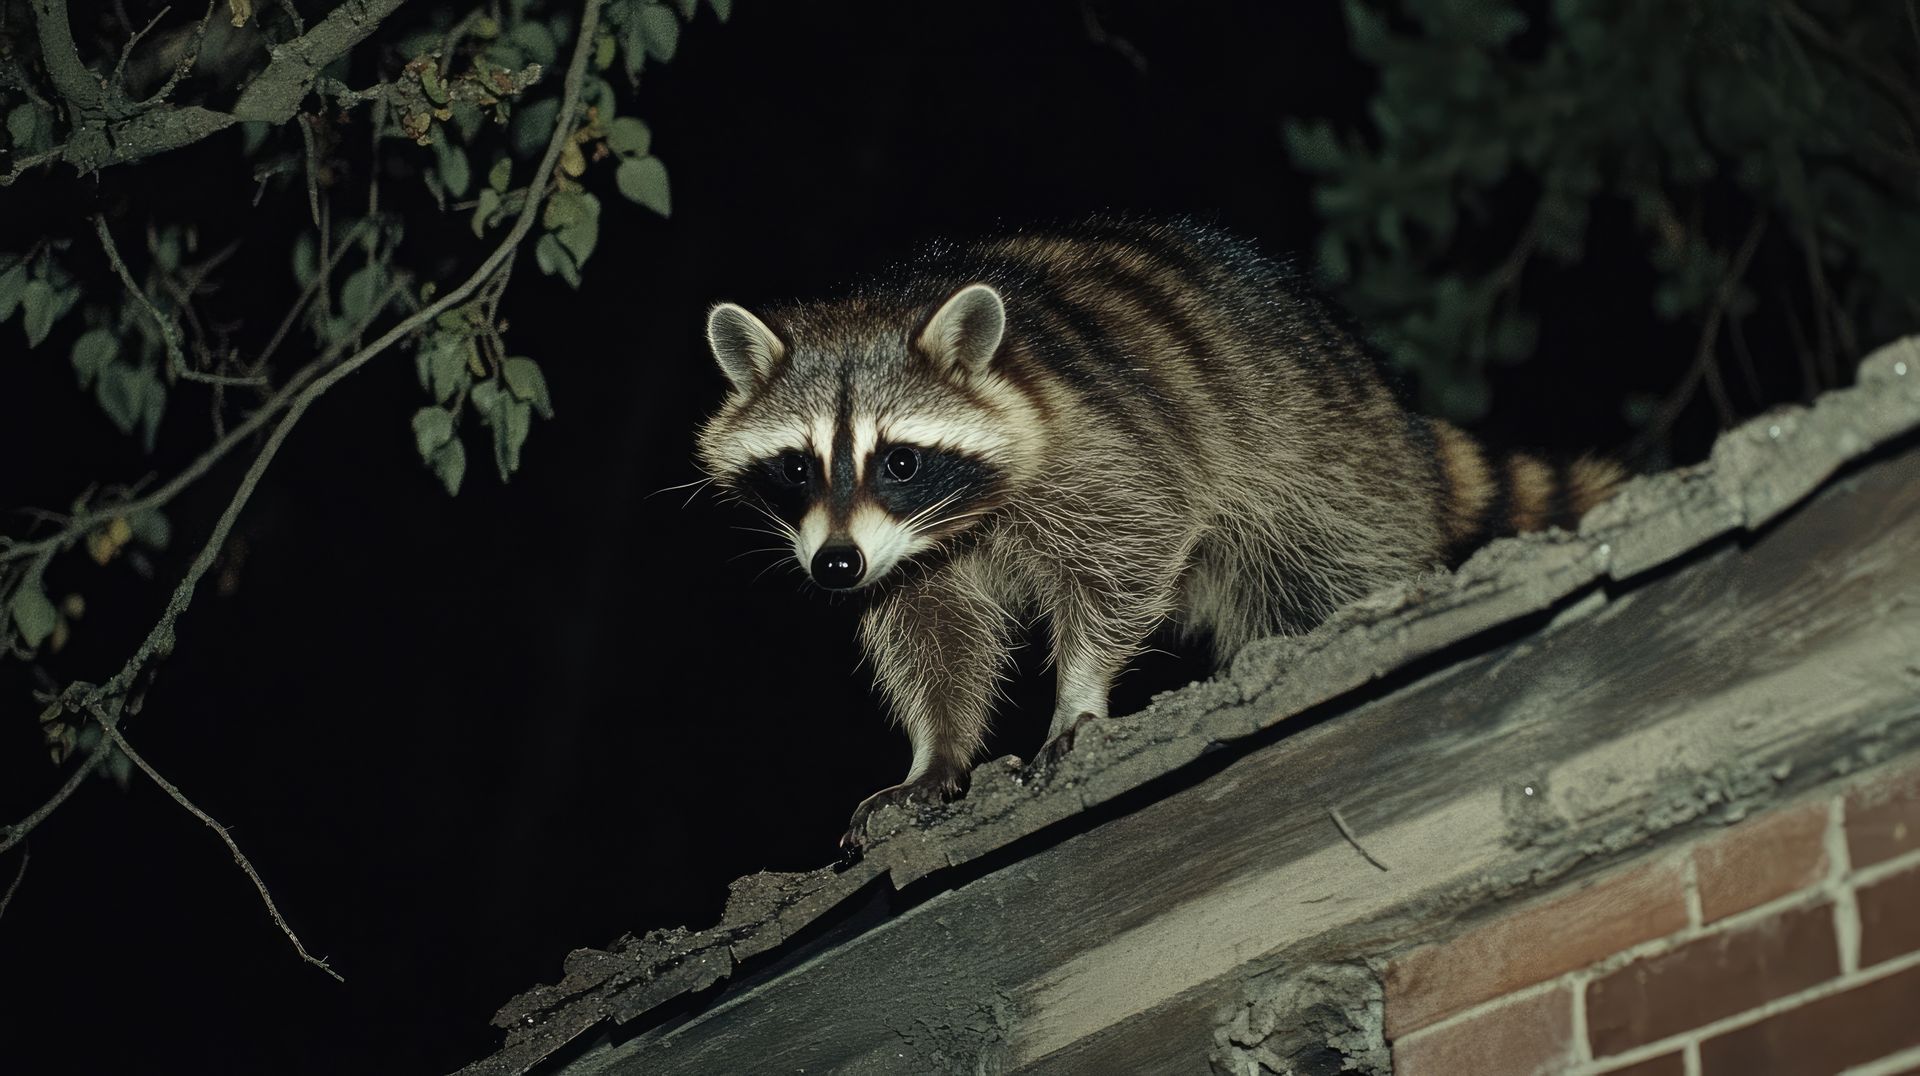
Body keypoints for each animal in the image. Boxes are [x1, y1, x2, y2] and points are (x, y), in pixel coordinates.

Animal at [694, 219, 1621, 849]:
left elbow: (1129, 551)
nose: (835, 566)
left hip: (1327, 465)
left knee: (1323, 567)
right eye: (796, 468)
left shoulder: (1102, 444)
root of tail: (1394, 412)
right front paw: (934, 755)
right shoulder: (906, 553)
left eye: (899, 461)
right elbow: (931, 635)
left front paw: (1078, 695)